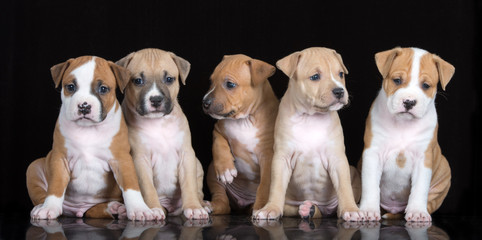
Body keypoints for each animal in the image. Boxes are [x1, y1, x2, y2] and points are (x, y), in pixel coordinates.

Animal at [26, 55, 154, 220]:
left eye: (103, 89)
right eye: (71, 87)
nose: (84, 106)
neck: (88, 130)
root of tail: (79, 210)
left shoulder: (122, 160)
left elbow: (131, 185)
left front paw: (139, 209)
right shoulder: (60, 159)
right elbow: (56, 184)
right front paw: (49, 207)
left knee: (97, 209)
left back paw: (116, 208)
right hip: (33, 167)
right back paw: (41, 207)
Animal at [116, 47, 209, 220]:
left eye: (169, 79)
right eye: (137, 81)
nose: (156, 99)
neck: (158, 123)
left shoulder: (186, 154)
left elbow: (189, 185)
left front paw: (194, 207)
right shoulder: (140, 159)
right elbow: (147, 187)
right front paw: (153, 208)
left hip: (198, 165)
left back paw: (204, 204)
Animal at [201, 54, 278, 214]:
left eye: (230, 84)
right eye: (211, 81)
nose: (204, 102)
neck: (244, 120)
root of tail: (242, 203)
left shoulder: (268, 157)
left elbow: (265, 185)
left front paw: (262, 208)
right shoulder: (218, 129)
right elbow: (218, 144)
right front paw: (225, 169)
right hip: (212, 173)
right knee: (223, 202)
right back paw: (210, 205)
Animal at [252, 47, 362, 222]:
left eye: (340, 74)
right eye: (315, 77)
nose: (339, 91)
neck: (311, 118)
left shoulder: (337, 159)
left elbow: (344, 187)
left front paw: (351, 209)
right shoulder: (281, 159)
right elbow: (276, 187)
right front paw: (270, 209)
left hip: (353, 172)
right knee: (298, 210)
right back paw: (307, 209)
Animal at [358, 46, 456, 221]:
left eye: (426, 85)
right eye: (397, 80)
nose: (409, 102)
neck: (403, 125)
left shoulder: (423, 159)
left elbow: (420, 188)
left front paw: (417, 211)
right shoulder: (372, 154)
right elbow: (370, 185)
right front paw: (368, 209)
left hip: (444, 171)